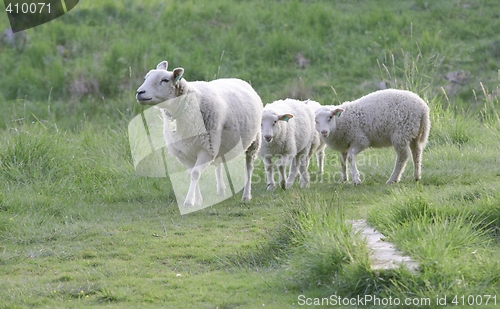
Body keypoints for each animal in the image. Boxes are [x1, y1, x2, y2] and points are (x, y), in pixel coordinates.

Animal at [135, 60, 264, 206]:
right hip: (219, 143)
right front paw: (198, 200)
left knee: (249, 167)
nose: (140, 92)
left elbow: (195, 173)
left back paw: (246, 195)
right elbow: (191, 173)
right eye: (146, 78)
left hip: (253, 141)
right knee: (219, 164)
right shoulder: (184, 152)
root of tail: (238, 80)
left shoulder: (206, 149)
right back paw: (221, 191)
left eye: (165, 80)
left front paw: (189, 202)